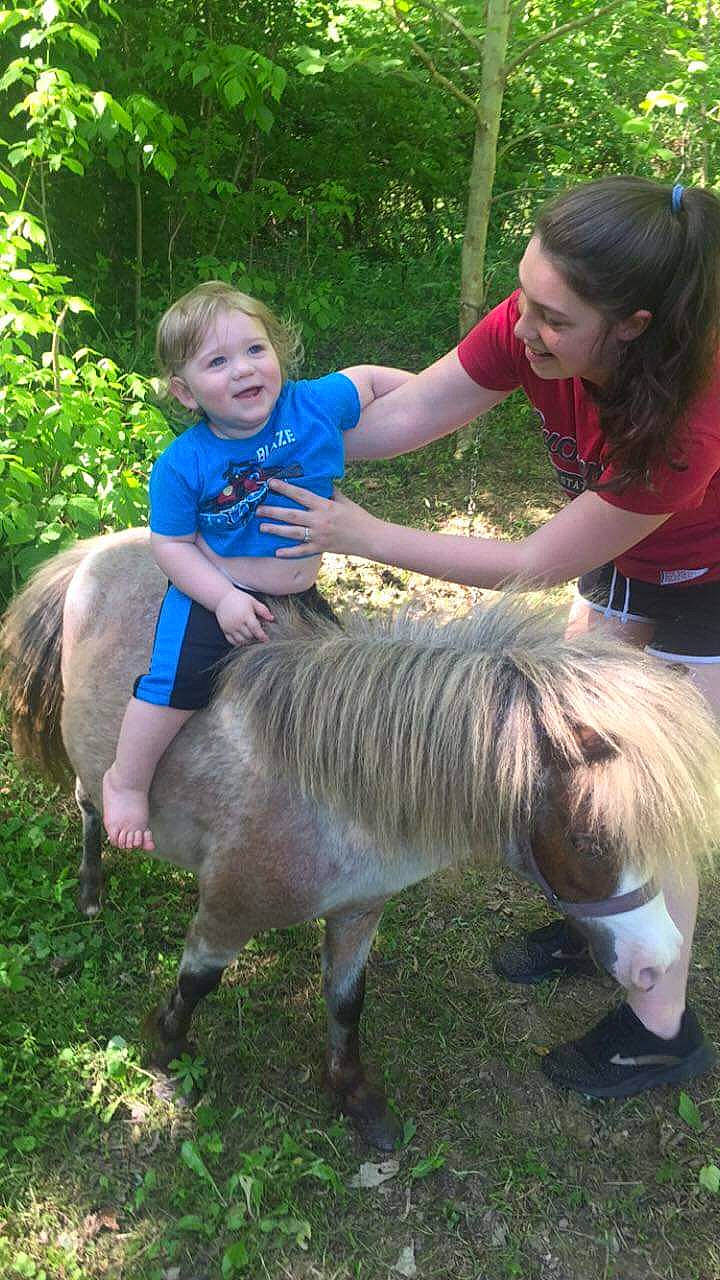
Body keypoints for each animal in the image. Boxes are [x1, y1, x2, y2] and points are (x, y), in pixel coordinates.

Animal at [2, 528, 720, 1150]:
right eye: (589, 839)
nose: (659, 961)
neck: (333, 787)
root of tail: (104, 546)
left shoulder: (358, 913)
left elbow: (347, 1003)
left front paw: (352, 1096)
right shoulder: (226, 912)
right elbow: (195, 984)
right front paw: (168, 1051)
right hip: (91, 759)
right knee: (88, 805)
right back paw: (91, 889)